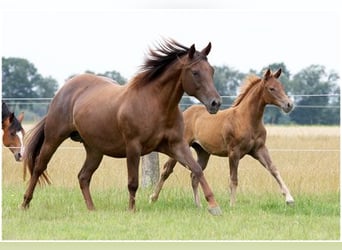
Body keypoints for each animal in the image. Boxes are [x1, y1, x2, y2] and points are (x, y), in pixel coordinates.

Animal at [22, 38, 223, 215]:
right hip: (54, 138)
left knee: (83, 176)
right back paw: (25, 203)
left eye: (211, 71)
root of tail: (63, 90)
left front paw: (214, 206)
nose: (215, 103)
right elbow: (133, 182)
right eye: (195, 72)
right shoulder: (133, 147)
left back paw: (92, 209)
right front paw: (131, 210)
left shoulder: (176, 145)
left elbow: (196, 169)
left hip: (94, 150)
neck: (156, 105)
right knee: (39, 167)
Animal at [151, 69, 296, 207]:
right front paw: (232, 204)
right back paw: (153, 198)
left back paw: (198, 205)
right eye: (271, 88)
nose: (288, 105)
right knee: (167, 170)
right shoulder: (234, 152)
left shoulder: (259, 149)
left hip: (203, 152)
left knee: (194, 174)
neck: (246, 119)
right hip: (179, 147)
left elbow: (273, 169)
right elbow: (233, 179)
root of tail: (185, 113)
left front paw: (289, 199)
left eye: (282, 87)